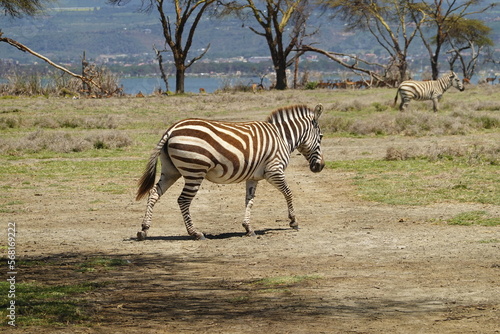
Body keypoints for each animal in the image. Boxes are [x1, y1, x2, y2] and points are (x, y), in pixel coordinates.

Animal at [135, 104, 326, 240]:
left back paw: (144, 230)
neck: (282, 137)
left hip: (171, 171)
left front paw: (248, 228)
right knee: (183, 200)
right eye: (321, 137)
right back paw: (195, 233)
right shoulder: (274, 171)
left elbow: (249, 200)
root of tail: (171, 129)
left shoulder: (253, 177)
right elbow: (288, 192)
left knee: (154, 193)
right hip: (194, 171)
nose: (321, 167)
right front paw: (293, 221)